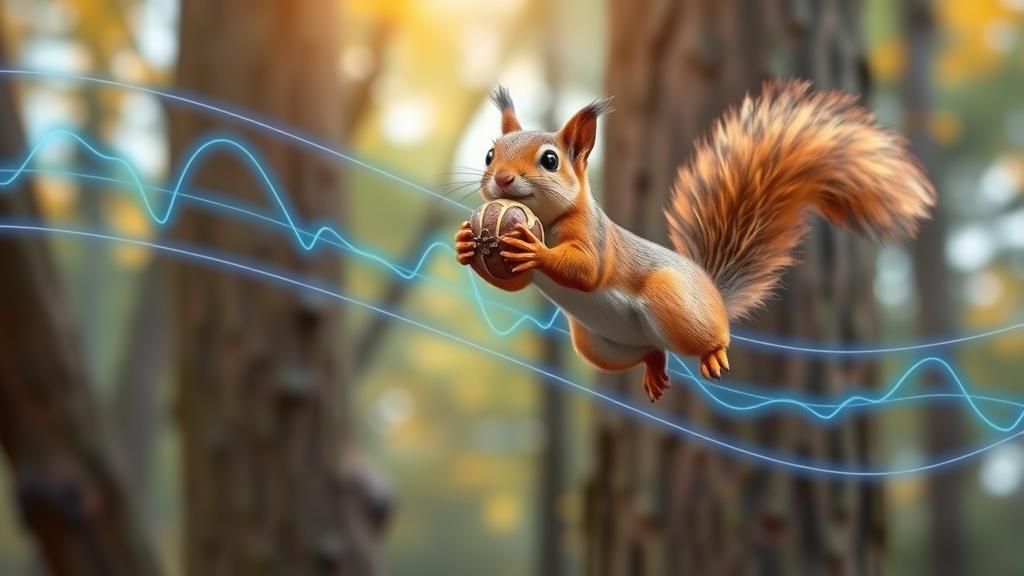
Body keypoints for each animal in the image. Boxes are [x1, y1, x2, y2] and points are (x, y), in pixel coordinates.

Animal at [454, 80, 935, 402]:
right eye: (490, 154)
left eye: (550, 160)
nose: (501, 179)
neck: (551, 220)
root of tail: (714, 294)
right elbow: (514, 282)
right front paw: (464, 241)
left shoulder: (594, 238)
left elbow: (587, 270)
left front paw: (534, 249)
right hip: (597, 345)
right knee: (651, 352)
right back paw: (653, 368)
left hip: (675, 303)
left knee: (708, 335)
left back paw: (713, 354)